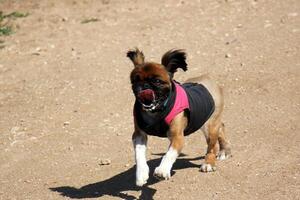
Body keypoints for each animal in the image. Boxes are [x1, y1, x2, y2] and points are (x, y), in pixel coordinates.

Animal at [125, 48, 231, 186]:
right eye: (135, 81)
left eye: (157, 81)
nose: (144, 86)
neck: (157, 111)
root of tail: (208, 79)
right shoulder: (139, 135)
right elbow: (139, 155)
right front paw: (141, 174)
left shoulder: (177, 137)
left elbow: (169, 154)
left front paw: (162, 170)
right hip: (203, 121)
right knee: (221, 127)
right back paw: (225, 150)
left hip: (209, 127)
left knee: (212, 146)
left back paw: (209, 162)